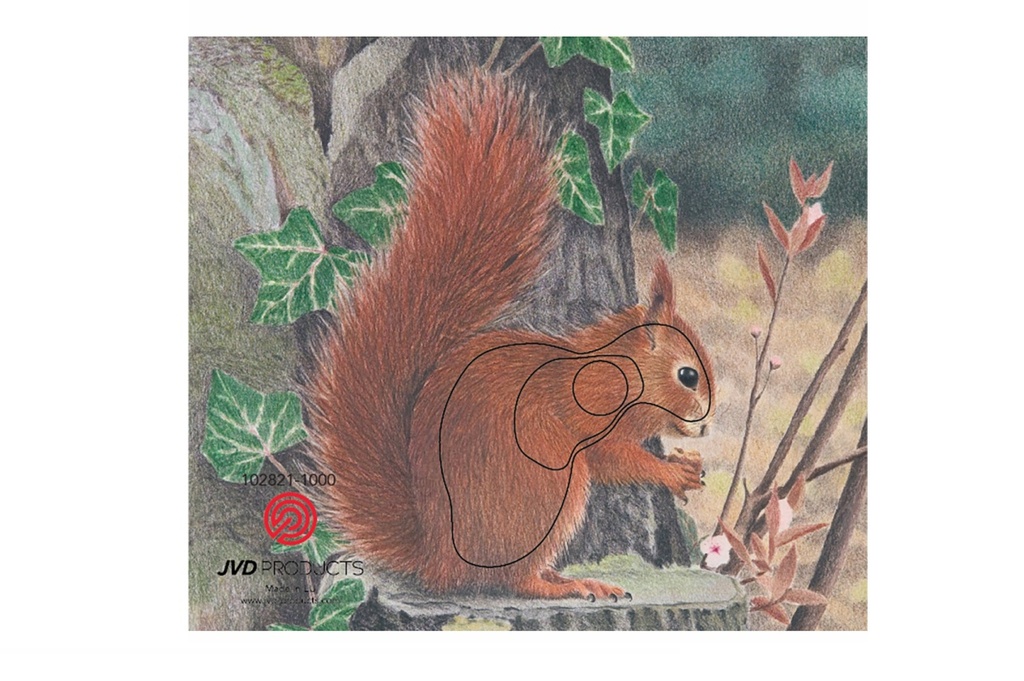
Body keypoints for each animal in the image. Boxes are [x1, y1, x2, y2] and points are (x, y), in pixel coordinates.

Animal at [305, 71, 715, 600]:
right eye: (687, 375)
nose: (705, 425)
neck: (622, 369)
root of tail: (439, 560)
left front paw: (687, 459)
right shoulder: (590, 403)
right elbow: (612, 459)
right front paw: (672, 471)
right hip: (545, 488)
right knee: (514, 580)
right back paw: (568, 585)